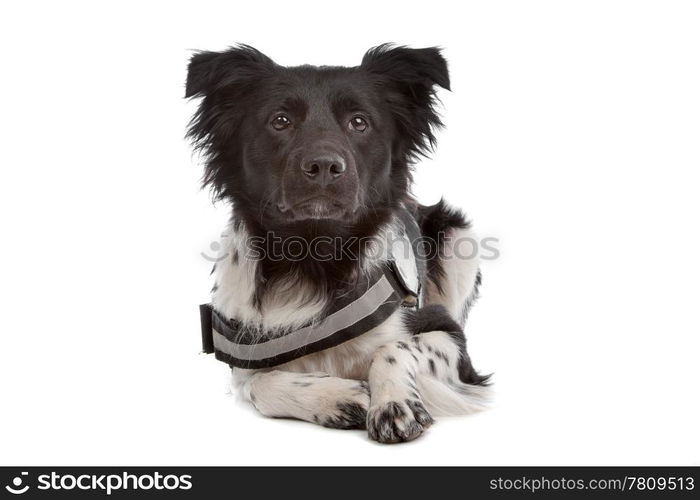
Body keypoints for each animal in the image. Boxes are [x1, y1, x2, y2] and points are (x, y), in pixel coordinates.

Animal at [189, 43, 490, 442]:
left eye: (359, 122)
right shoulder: (243, 349)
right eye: (280, 121)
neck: (313, 257)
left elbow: (393, 347)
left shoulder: (448, 335)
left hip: (458, 240)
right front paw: (340, 398)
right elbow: (258, 384)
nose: (323, 166)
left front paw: (394, 403)